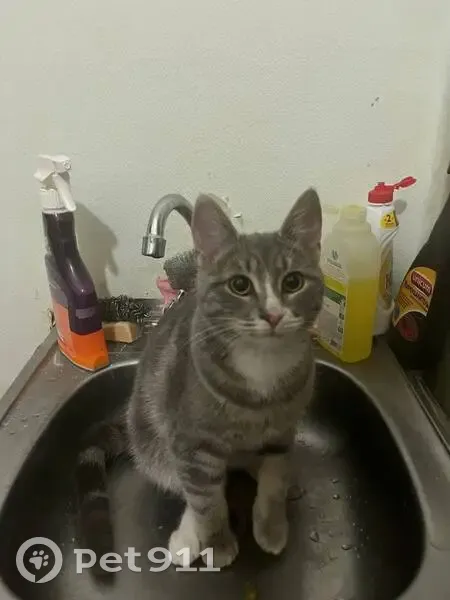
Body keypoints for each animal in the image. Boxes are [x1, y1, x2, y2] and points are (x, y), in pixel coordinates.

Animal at [125, 188, 324, 568]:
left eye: (293, 282)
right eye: (239, 285)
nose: (273, 315)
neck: (262, 364)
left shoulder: (282, 431)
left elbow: (274, 480)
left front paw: (271, 526)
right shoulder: (191, 441)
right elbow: (206, 501)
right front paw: (217, 542)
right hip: (151, 436)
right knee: (180, 481)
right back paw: (188, 537)